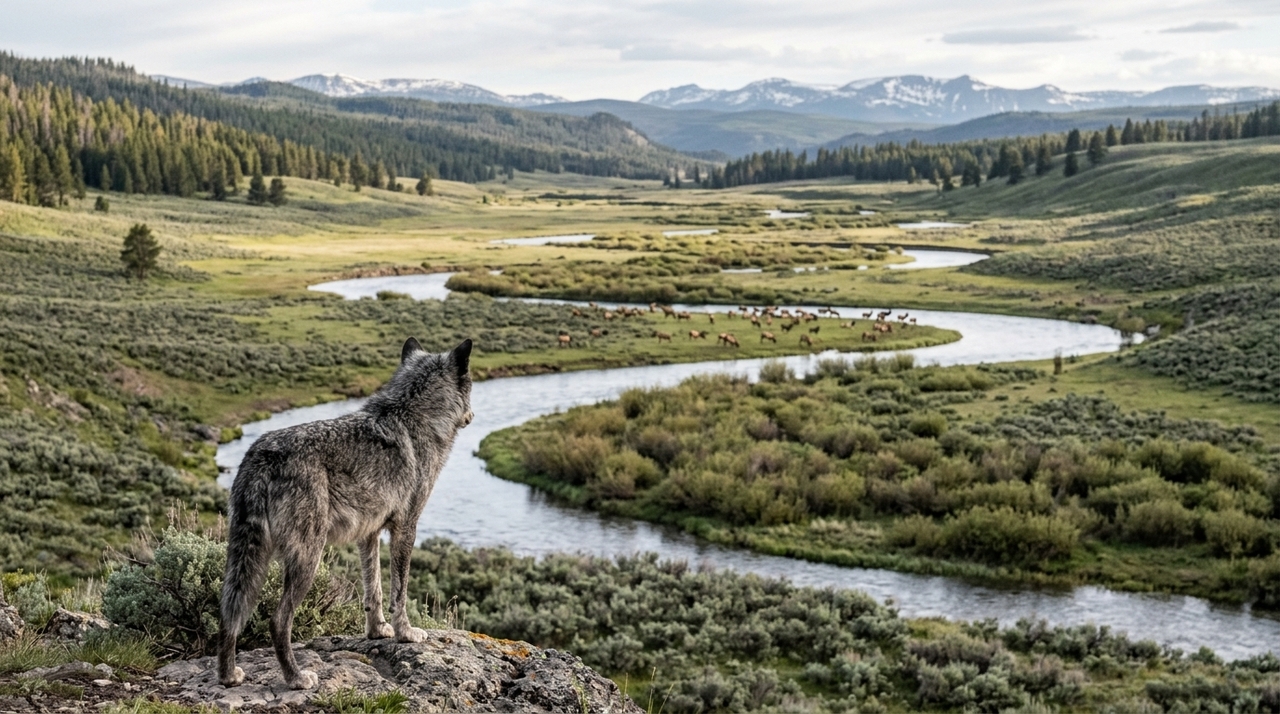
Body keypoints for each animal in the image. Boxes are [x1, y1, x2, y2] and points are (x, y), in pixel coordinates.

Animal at [217, 337, 474, 689]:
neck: (414, 416)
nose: (473, 415)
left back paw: (229, 675)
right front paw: (406, 633)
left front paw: (378, 631)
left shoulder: (369, 534)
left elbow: (373, 589)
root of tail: (263, 455)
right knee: (277, 620)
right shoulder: (406, 529)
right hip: (307, 560)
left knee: (229, 612)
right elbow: (399, 591)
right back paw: (296, 678)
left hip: (245, 559)